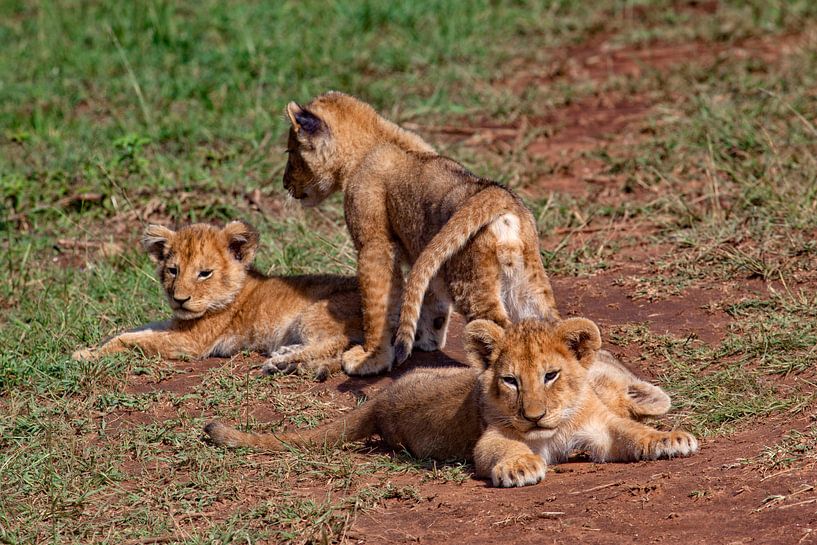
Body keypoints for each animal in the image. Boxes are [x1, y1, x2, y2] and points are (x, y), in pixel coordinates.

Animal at [72, 221, 447, 380]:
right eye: (173, 270)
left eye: (204, 273)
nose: (179, 299)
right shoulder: (175, 323)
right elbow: (134, 330)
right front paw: (92, 345)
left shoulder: (192, 343)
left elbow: (131, 340)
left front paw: (84, 355)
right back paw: (289, 358)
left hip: (315, 311)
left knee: (337, 344)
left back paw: (281, 362)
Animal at [204, 318, 697, 487]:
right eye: (510, 381)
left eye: (551, 375)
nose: (533, 415)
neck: (556, 428)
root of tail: (381, 398)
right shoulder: (489, 436)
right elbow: (501, 450)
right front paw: (520, 468)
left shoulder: (599, 429)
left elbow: (631, 431)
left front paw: (671, 439)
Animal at [281, 91, 559, 376]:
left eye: (291, 152)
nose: (284, 184)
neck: (374, 137)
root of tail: (499, 196)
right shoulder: (426, 255)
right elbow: (431, 301)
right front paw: (426, 342)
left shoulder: (375, 244)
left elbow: (376, 303)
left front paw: (371, 358)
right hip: (528, 285)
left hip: (471, 284)